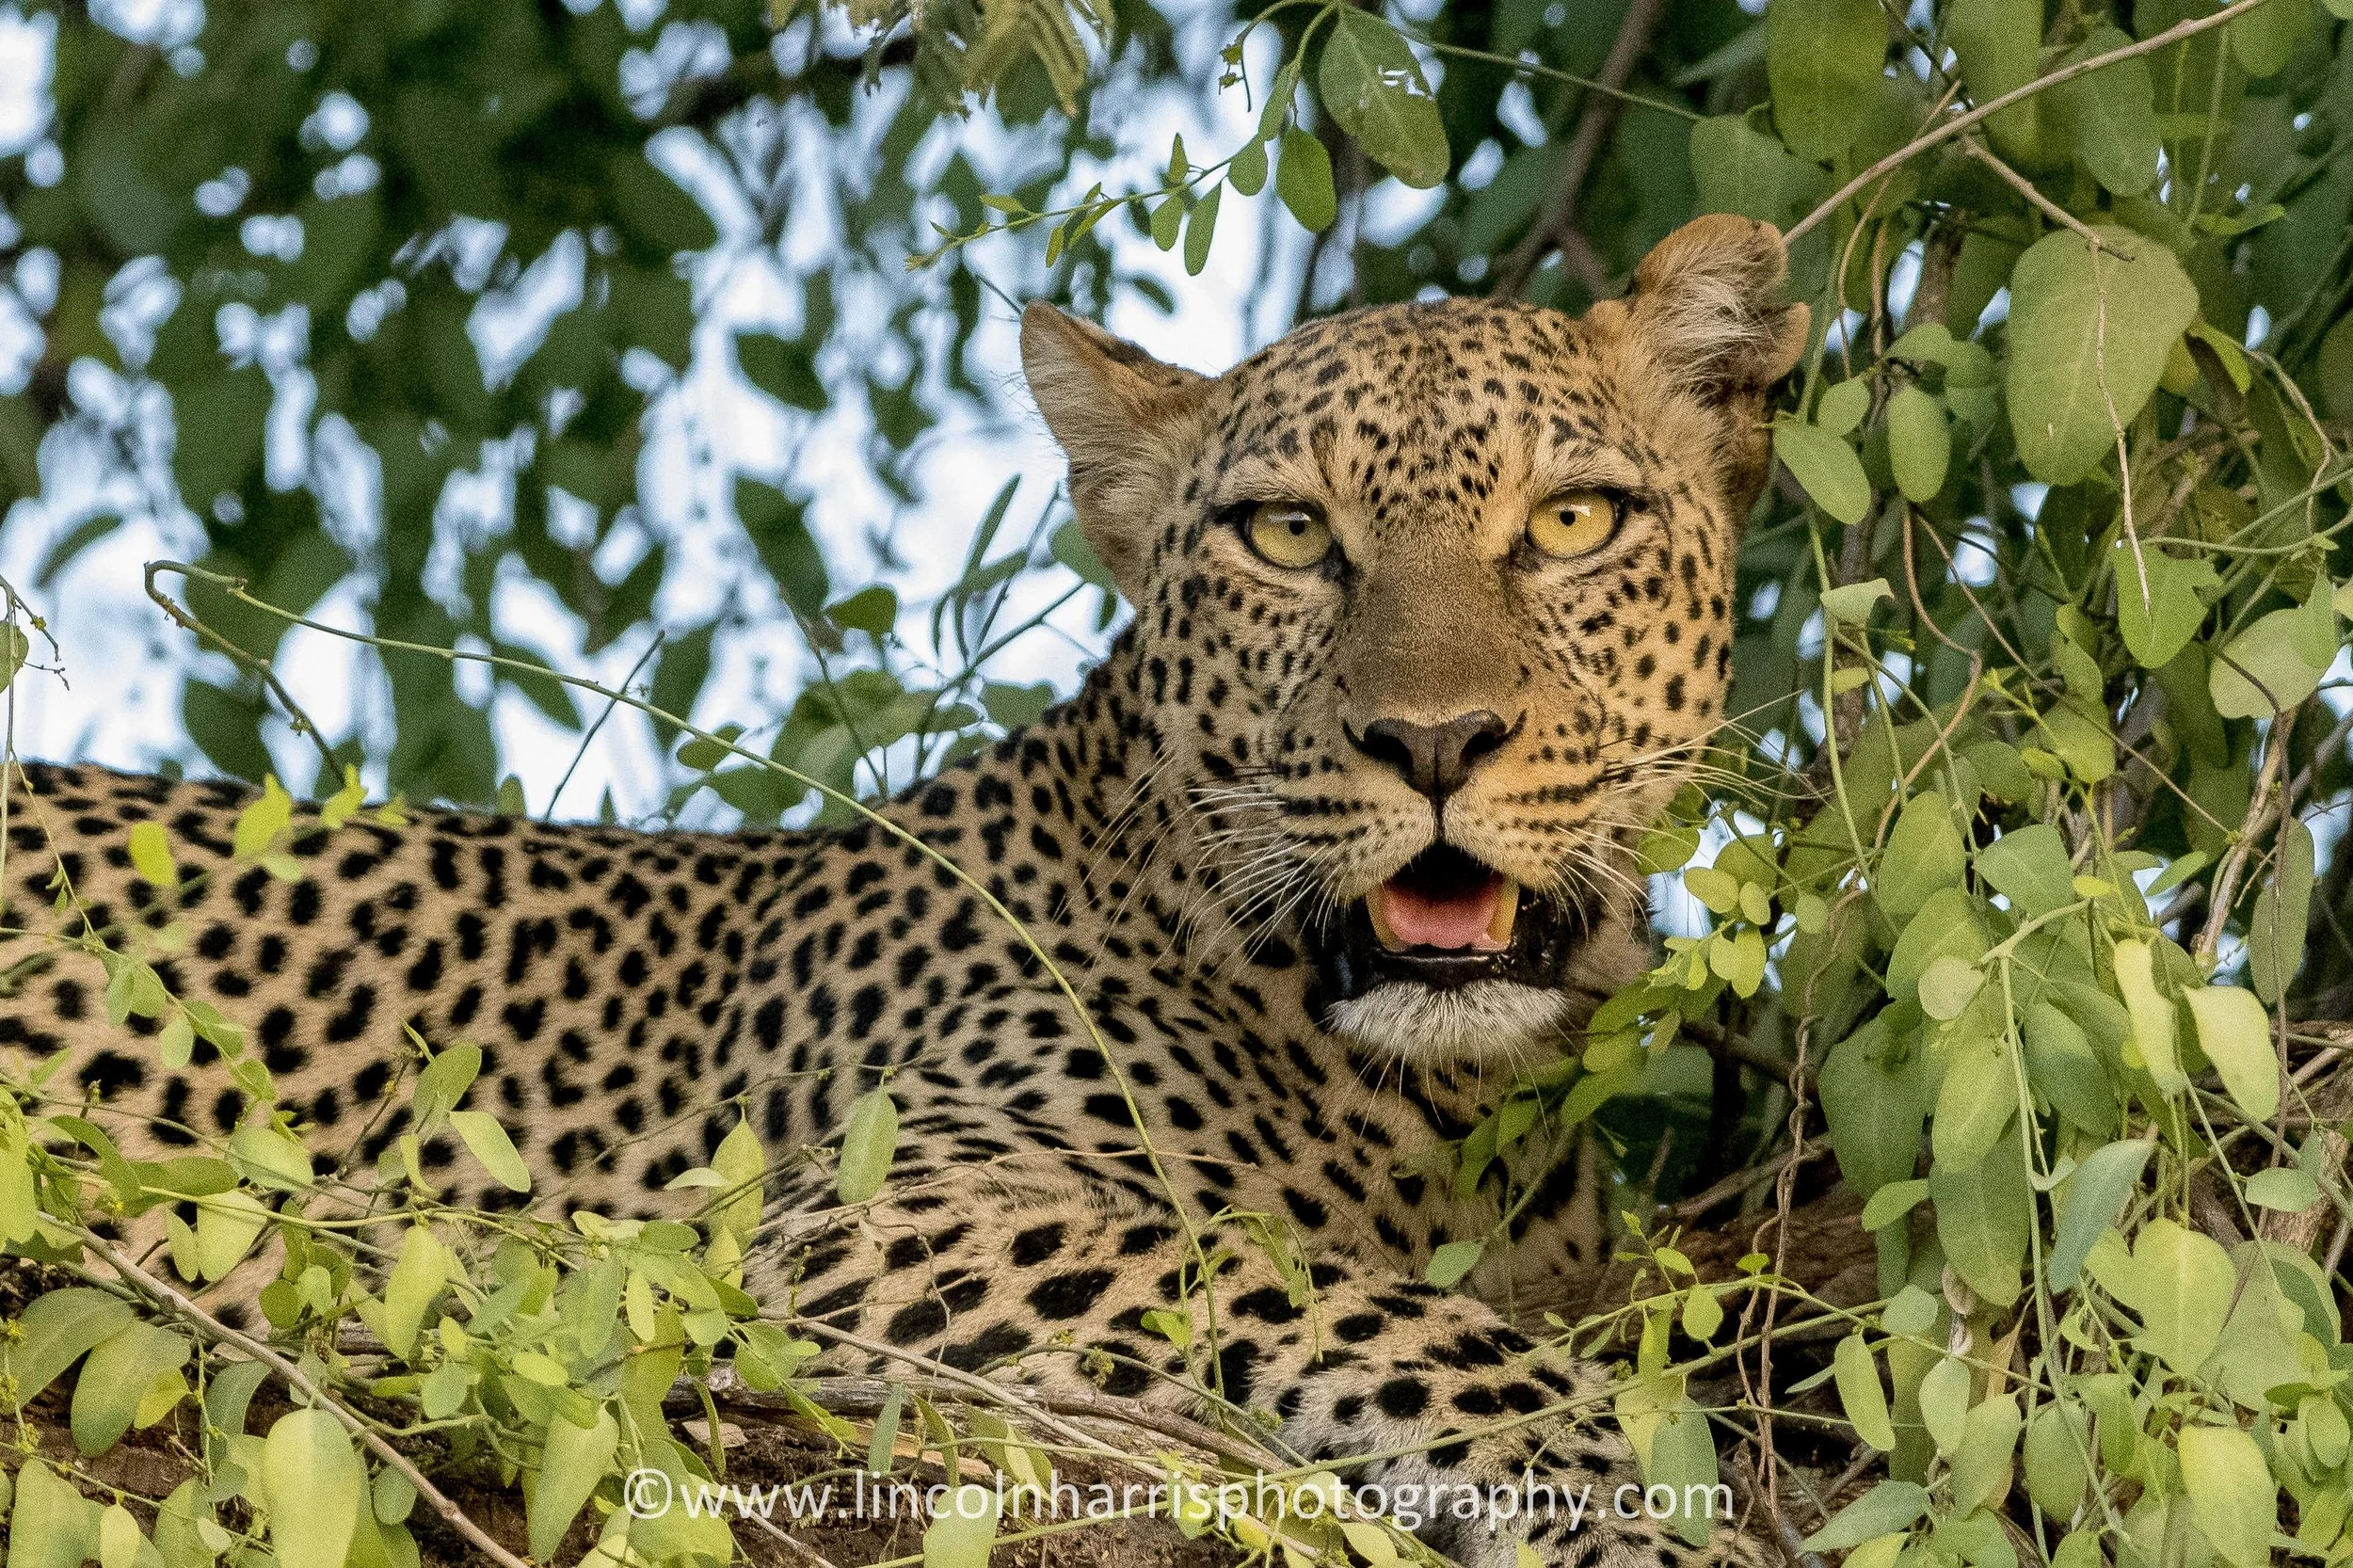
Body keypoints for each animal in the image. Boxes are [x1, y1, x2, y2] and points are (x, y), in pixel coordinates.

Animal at [0, 215, 1808, 1568]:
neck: (1450, 1106)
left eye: (1572, 521)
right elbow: (1335, 1294)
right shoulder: (836, 1220)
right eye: (1290, 536)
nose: (1433, 741)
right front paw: (1629, 1500)